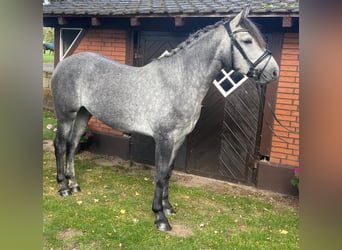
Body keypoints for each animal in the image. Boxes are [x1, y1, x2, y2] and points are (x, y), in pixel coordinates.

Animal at [52, 8, 280, 231]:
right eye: (248, 40)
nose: (274, 71)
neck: (179, 80)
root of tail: (62, 64)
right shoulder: (164, 138)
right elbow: (160, 176)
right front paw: (159, 217)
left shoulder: (178, 138)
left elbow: (168, 173)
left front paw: (168, 207)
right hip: (66, 115)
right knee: (60, 145)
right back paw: (63, 187)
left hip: (83, 114)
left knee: (72, 145)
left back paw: (74, 185)